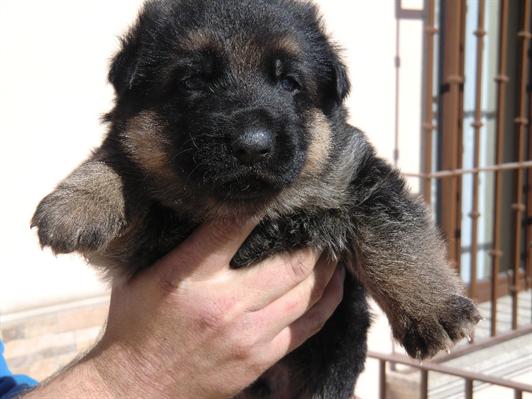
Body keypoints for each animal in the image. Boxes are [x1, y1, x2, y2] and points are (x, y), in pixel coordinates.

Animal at [33, 1, 482, 398]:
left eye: (289, 83)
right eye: (192, 80)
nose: (252, 146)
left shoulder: (360, 174)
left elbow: (395, 234)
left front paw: (434, 310)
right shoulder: (145, 246)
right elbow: (124, 161)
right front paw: (80, 202)